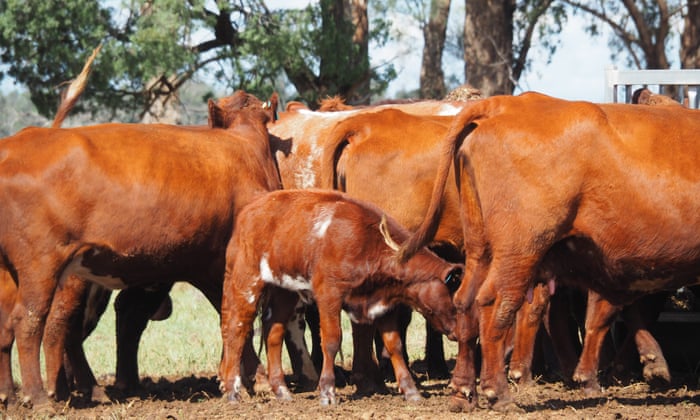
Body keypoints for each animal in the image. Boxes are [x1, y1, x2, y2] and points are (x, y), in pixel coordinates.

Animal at [0, 90, 282, 409]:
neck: (248, 148)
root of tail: (15, 143)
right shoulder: (227, 265)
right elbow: (237, 316)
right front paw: (254, 379)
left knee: (19, 326)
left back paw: (20, 395)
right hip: (42, 264)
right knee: (31, 321)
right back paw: (41, 397)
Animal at [218, 189, 461, 405]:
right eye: (456, 300)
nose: (458, 332)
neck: (368, 243)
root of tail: (249, 210)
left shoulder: (384, 305)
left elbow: (395, 345)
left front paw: (411, 391)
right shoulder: (329, 294)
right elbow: (332, 341)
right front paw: (327, 392)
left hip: (284, 291)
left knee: (273, 332)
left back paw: (281, 391)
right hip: (246, 281)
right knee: (236, 329)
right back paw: (232, 390)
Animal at [399, 91, 700, 412]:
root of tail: (504, 104)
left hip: (482, 249)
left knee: (467, 303)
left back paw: (463, 392)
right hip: (520, 251)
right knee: (495, 304)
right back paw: (499, 393)